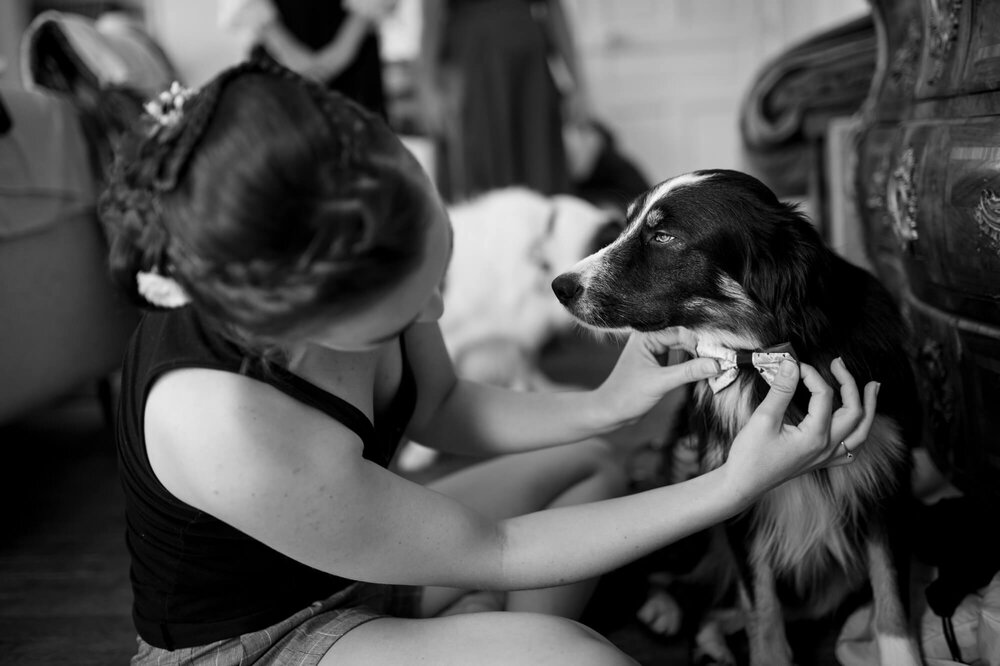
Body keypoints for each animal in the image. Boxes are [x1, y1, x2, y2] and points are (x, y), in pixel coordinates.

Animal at [556, 170, 920, 664]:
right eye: (628, 223)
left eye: (663, 236)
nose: (559, 287)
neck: (764, 356)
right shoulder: (739, 499)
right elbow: (762, 611)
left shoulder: (887, 484)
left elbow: (891, 602)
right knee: (673, 578)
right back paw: (665, 609)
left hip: (831, 582)